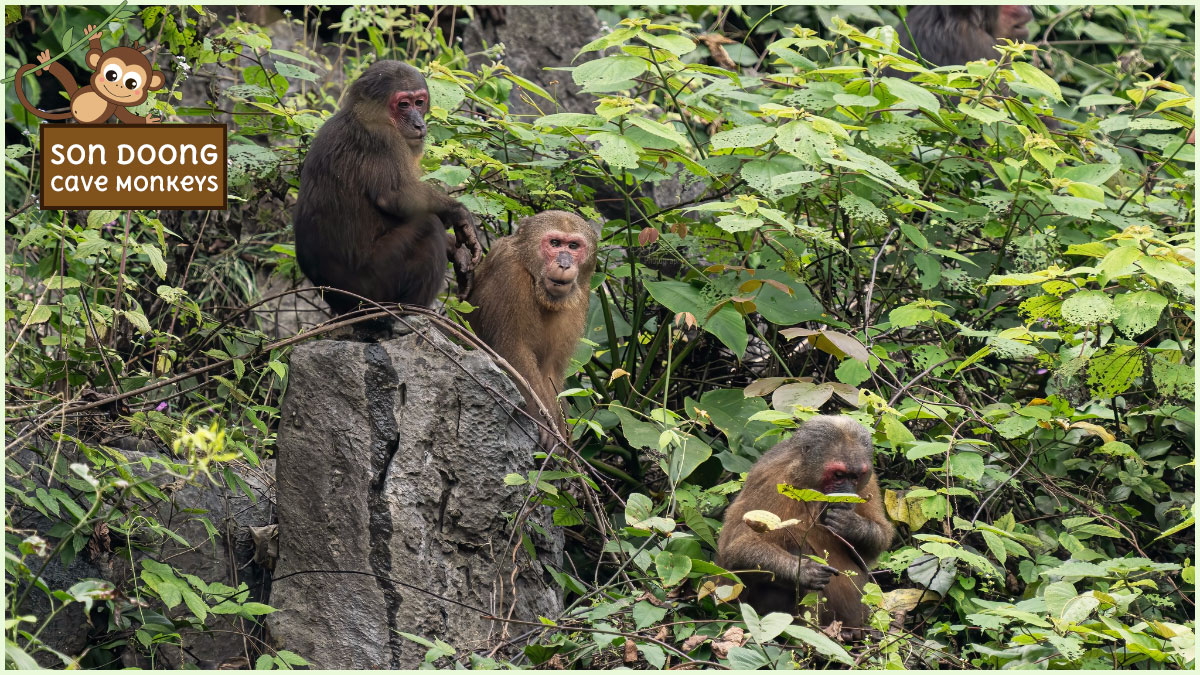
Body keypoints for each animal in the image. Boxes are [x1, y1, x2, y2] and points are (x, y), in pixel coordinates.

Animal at [295, 60, 482, 312]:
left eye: (419, 102)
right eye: (403, 104)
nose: (418, 123)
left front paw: (457, 250)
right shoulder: (384, 138)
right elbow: (395, 195)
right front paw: (459, 213)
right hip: (370, 291)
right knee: (429, 226)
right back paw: (411, 310)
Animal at [468, 211, 600, 441]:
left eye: (573, 246)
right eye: (555, 243)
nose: (565, 264)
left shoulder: (580, 294)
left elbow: (551, 369)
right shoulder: (511, 274)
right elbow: (513, 349)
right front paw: (543, 420)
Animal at [715, 413, 897, 634]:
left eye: (855, 476)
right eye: (838, 475)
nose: (847, 495)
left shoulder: (868, 484)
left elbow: (871, 549)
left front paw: (852, 525)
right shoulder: (774, 481)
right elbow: (737, 547)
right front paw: (803, 571)